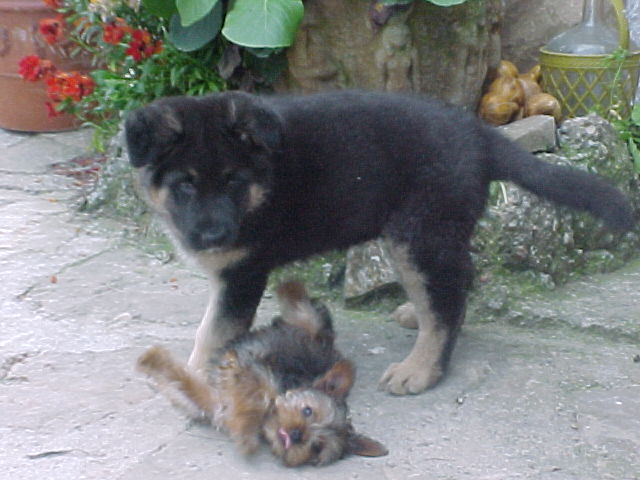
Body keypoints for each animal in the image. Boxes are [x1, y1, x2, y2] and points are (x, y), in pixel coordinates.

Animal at [126, 92, 636, 396]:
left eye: (233, 181)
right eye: (185, 185)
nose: (213, 237)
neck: (262, 183)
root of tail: (478, 134)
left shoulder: (242, 274)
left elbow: (212, 331)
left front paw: (190, 377)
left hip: (420, 234)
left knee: (446, 305)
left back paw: (421, 369)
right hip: (425, 234)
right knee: (456, 283)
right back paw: (416, 313)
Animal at [136, 282, 384, 464]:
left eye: (317, 447)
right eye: (307, 411)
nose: (297, 435)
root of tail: (328, 347)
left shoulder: (213, 397)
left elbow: (191, 385)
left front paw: (157, 364)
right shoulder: (254, 372)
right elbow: (254, 397)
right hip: (309, 328)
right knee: (306, 310)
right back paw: (289, 284)